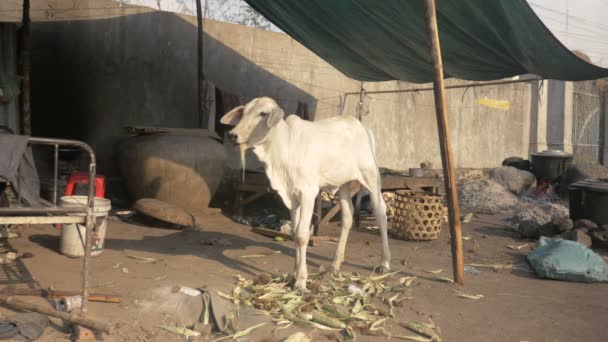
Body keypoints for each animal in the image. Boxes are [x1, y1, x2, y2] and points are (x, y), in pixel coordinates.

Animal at [221, 97, 392, 292]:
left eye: (263, 113)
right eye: (243, 112)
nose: (233, 135)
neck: (283, 148)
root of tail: (362, 126)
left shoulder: (308, 193)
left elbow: (303, 235)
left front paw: (301, 280)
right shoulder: (292, 196)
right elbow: (295, 234)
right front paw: (294, 274)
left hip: (371, 176)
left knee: (381, 212)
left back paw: (385, 263)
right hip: (343, 184)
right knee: (348, 216)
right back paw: (335, 264)